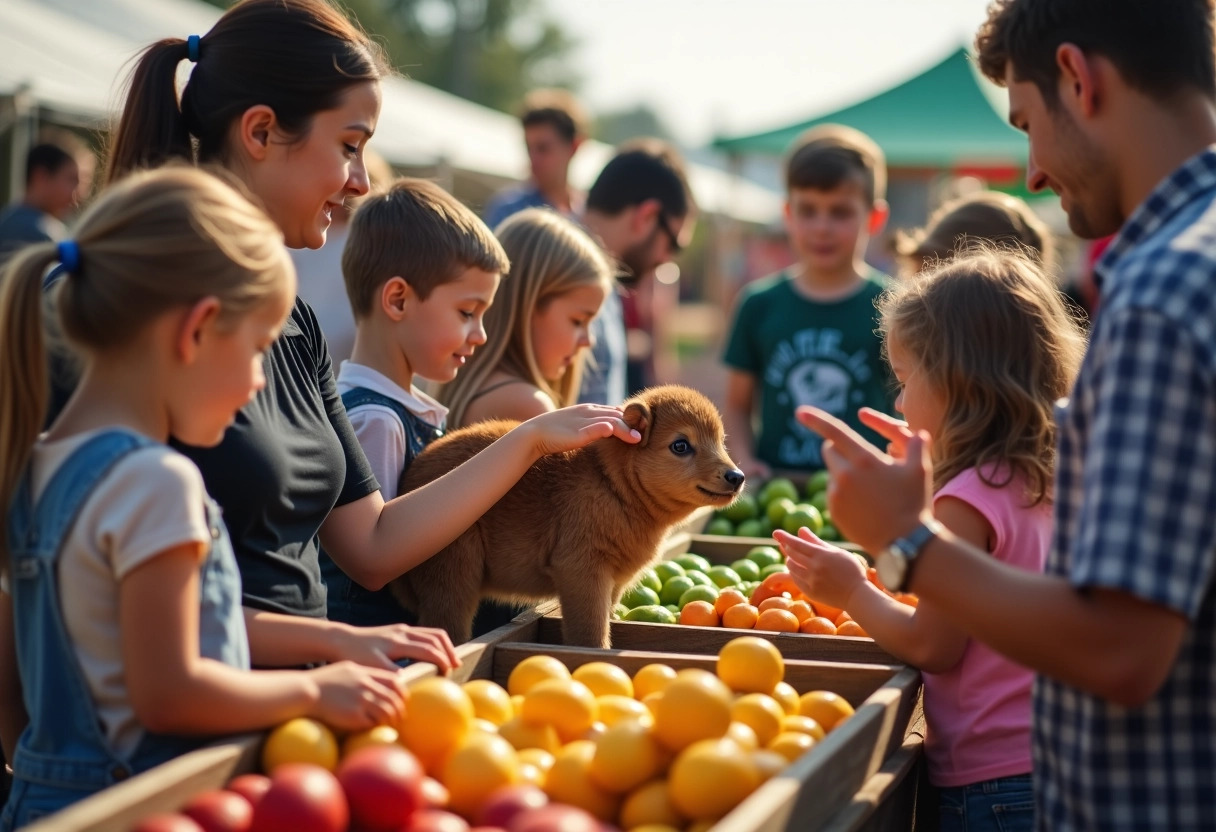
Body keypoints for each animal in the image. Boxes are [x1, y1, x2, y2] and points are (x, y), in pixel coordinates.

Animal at [393, 384, 744, 651]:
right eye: (681, 445)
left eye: (721, 441)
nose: (737, 476)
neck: (612, 486)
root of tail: (408, 480)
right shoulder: (580, 568)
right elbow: (589, 633)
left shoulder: (614, 581)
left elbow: (607, 618)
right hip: (452, 572)